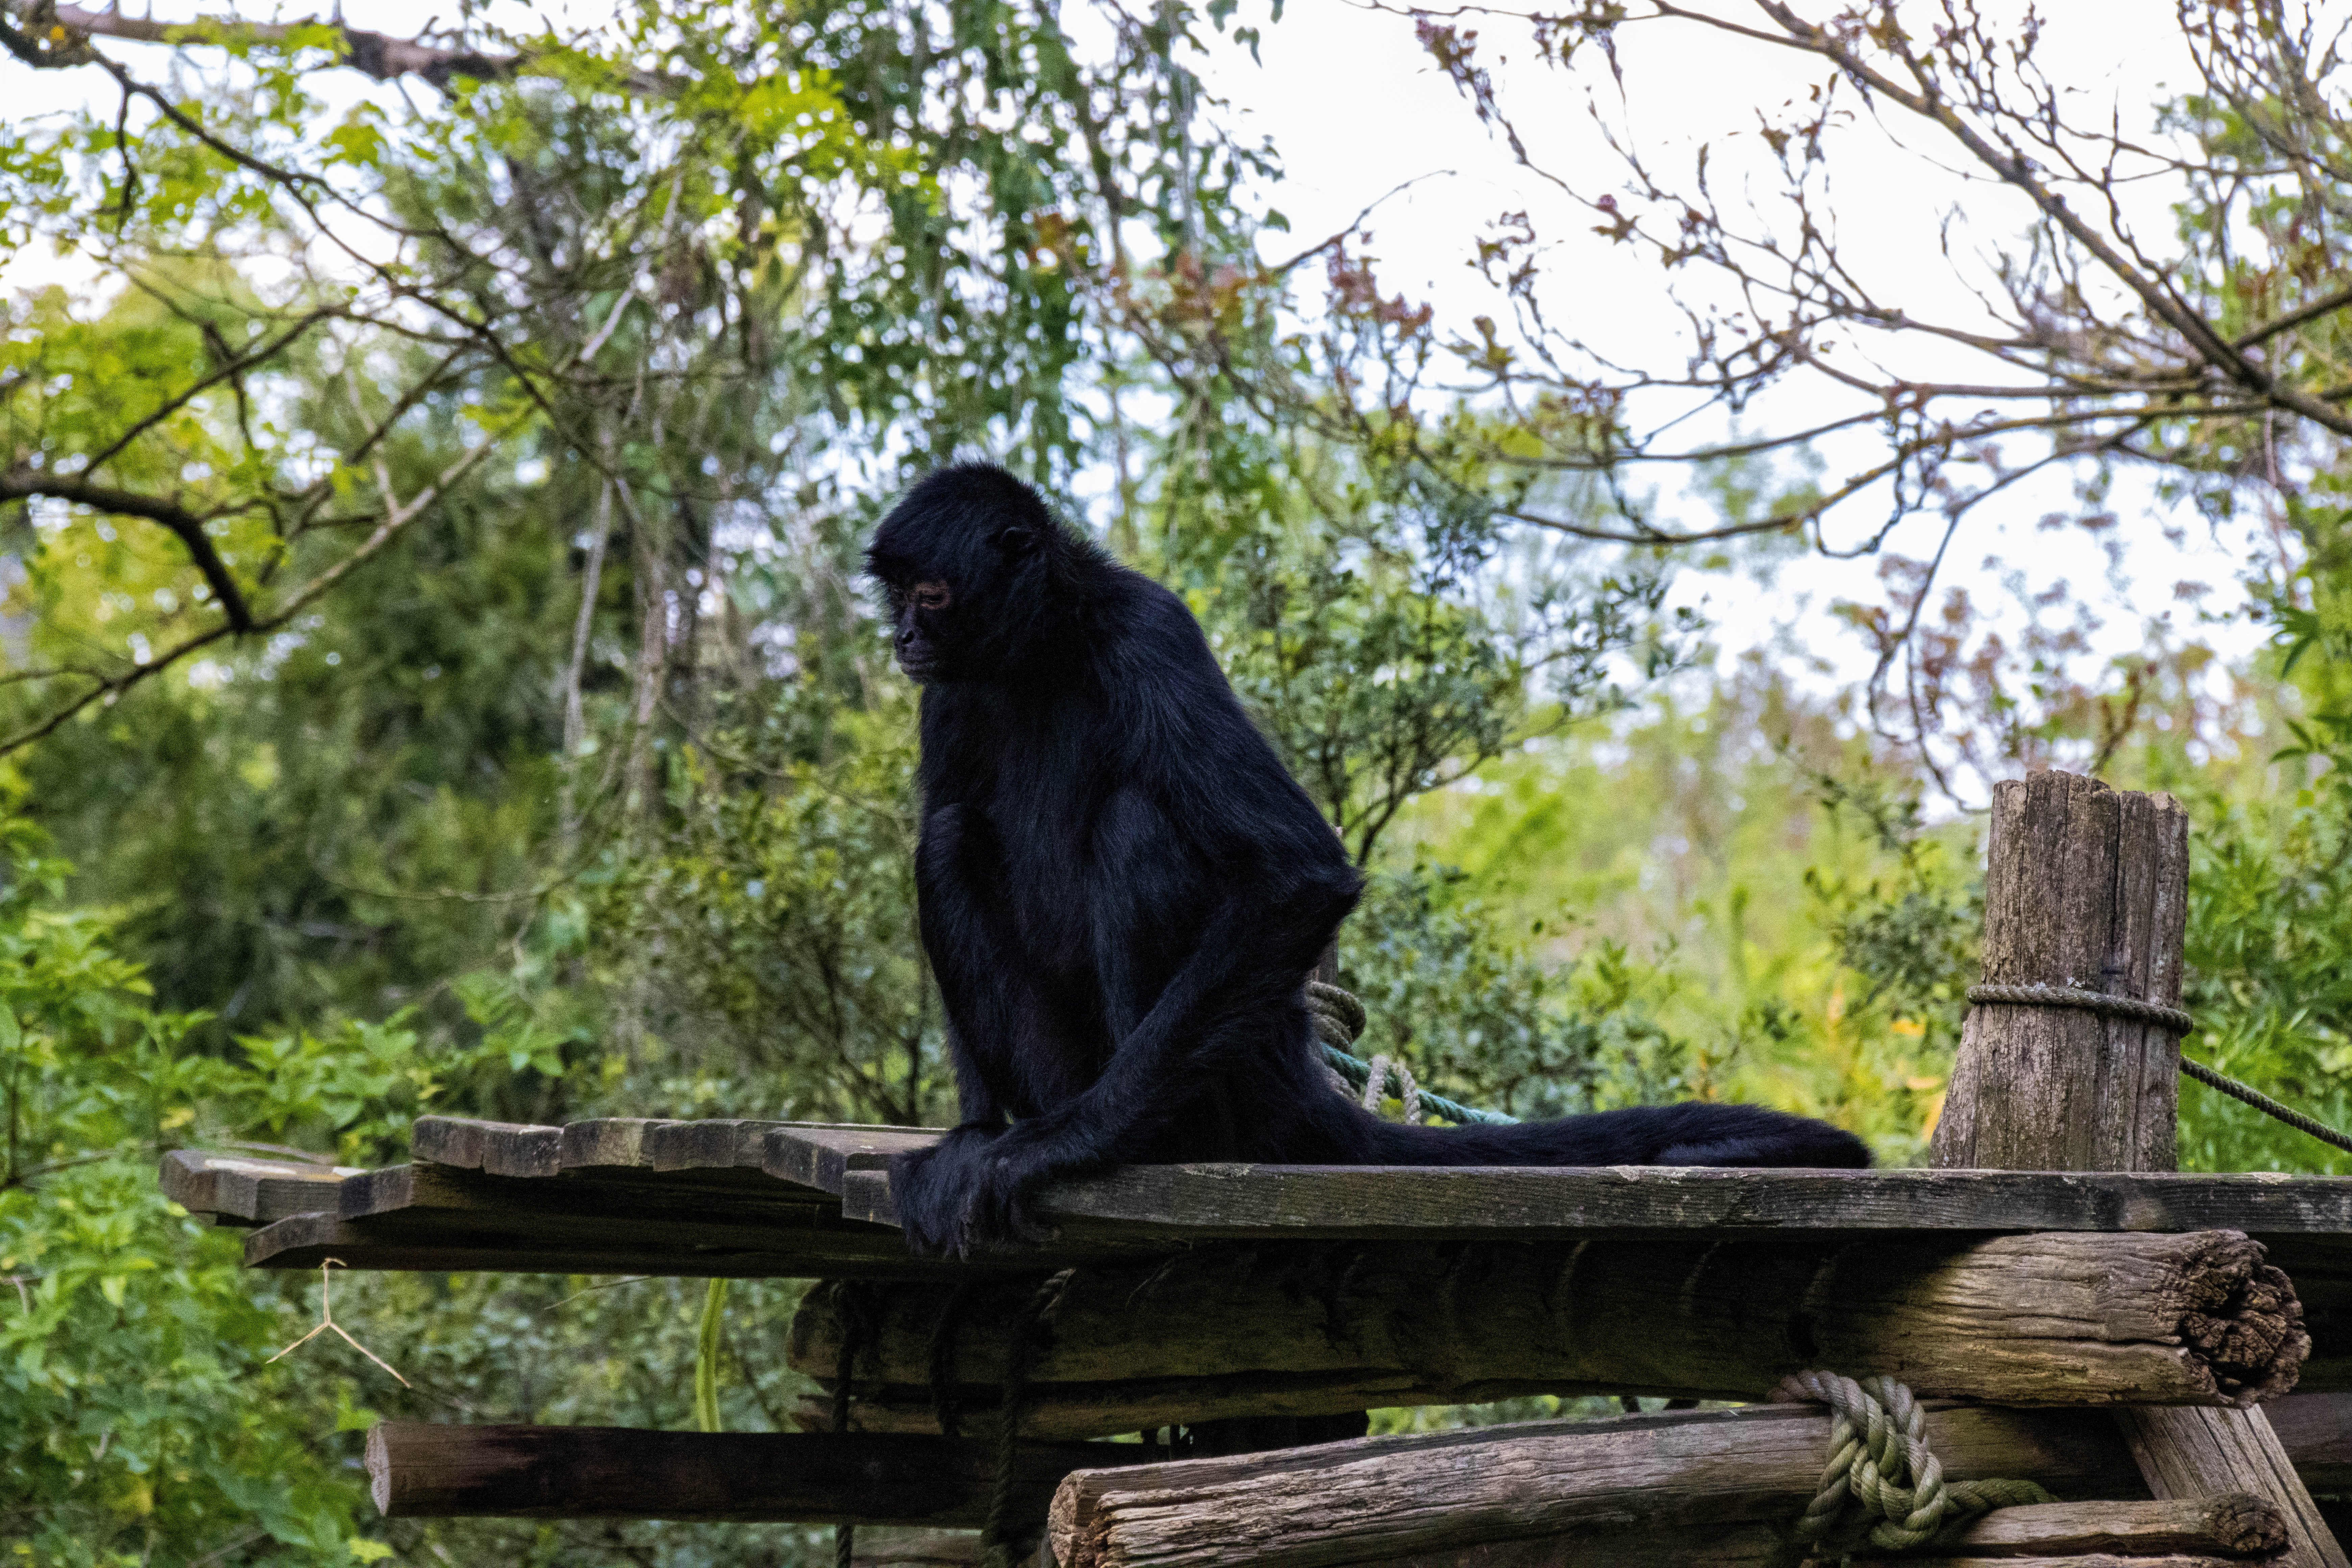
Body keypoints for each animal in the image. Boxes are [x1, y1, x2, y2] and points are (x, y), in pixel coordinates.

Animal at [870, 461, 1872, 1260]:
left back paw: (1145, 1143)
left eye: (933, 596)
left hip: (1238, 1065)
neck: (1038, 653)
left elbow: (1296, 872)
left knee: (1134, 821)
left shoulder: (1148, 629)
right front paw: (975, 1134)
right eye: (899, 596)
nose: (904, 640)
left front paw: (1053, 1146)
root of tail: (1296, 1068)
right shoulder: (947, 695)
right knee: (950, 837)